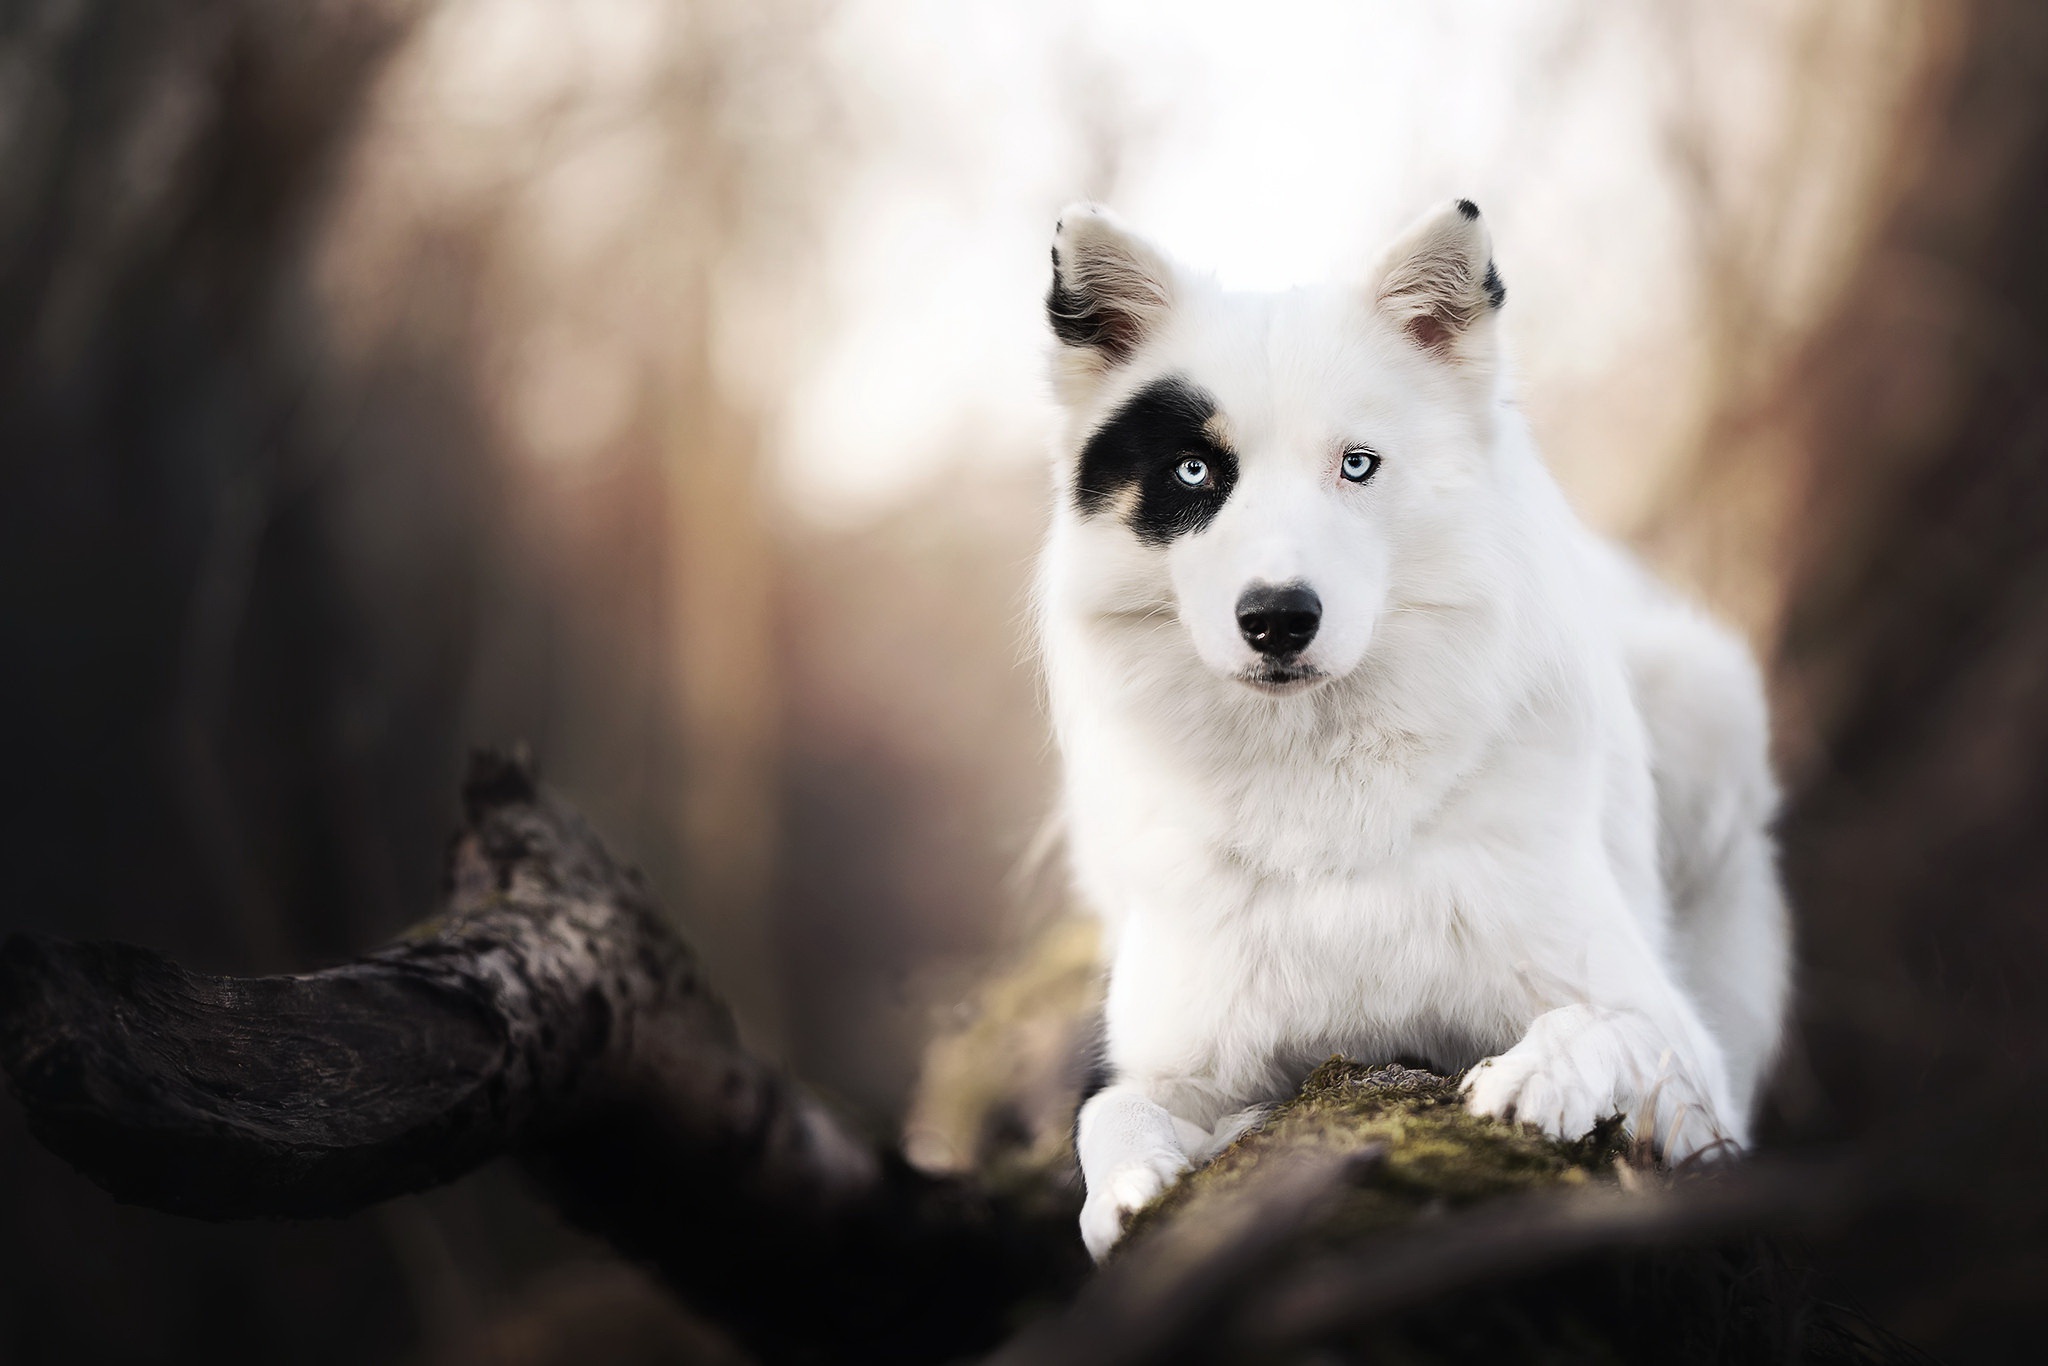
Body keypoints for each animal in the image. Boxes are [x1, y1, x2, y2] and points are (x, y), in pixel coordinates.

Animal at [1040, 200, 1794, 1261]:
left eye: (1357, 465)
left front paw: (1536, 1076)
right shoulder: (1168, 1056)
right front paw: (1132, 1190)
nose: (1277, 618)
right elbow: (1110, 1117)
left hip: (1706, 707)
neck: (1318, 786)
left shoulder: (1691, 1074)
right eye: (1194, 470)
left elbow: (1603, 1025)